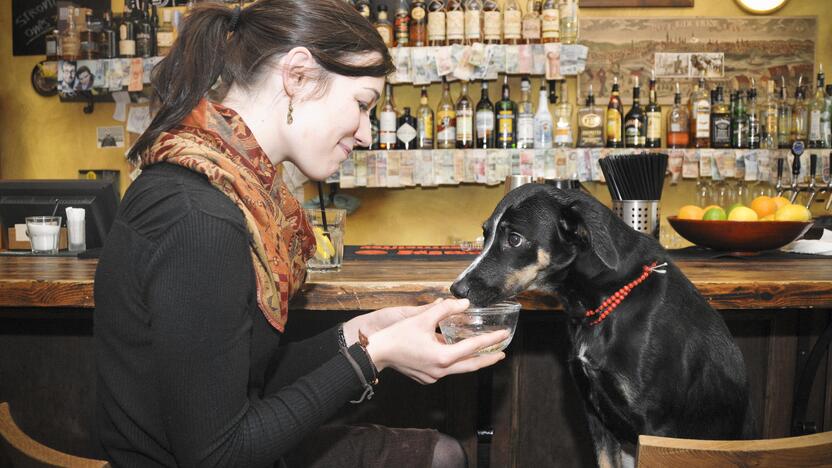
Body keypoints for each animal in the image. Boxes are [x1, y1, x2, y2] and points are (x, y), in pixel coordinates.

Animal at [452, 185, 756, 466]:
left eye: (514, 239)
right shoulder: (596, 415)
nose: (456, 289)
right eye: (485, 234)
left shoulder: (656, 429)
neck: (605, 300)